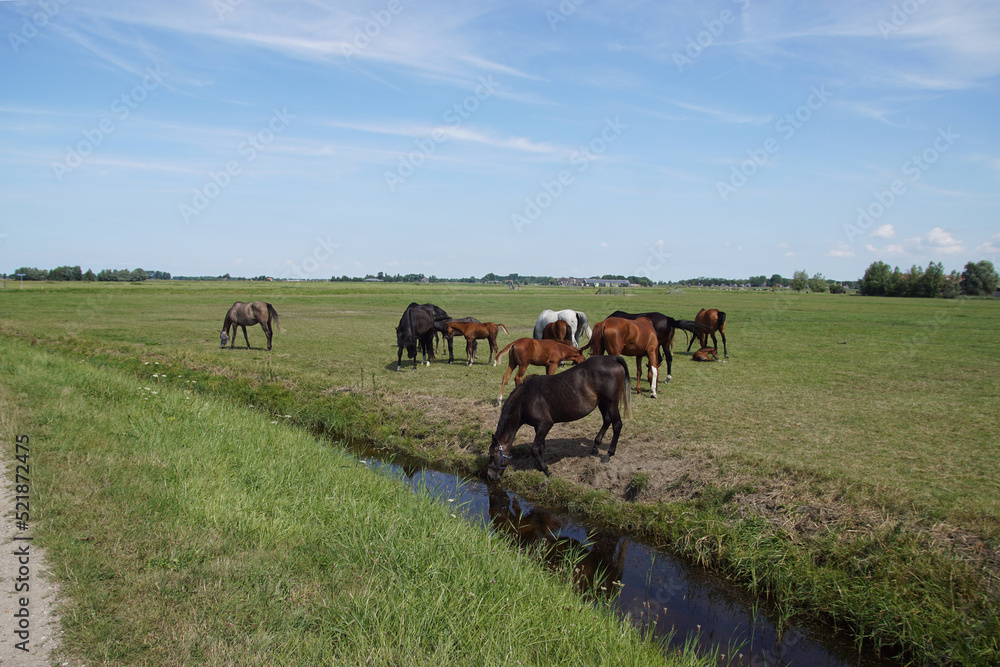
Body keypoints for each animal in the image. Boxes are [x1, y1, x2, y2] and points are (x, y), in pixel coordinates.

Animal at [487, 355, 632, 480]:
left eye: (492, 455)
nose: (489, 476)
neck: (524, 400)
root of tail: (613, 358)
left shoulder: (545, 425)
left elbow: (534, 449)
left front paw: (546, 470)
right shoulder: (539, 427)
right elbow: (541, 448)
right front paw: (540, 466)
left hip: (611, 402)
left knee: (617, 425)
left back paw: (609, 454)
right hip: (602, 402)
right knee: (607, 420)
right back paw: (595, 446)